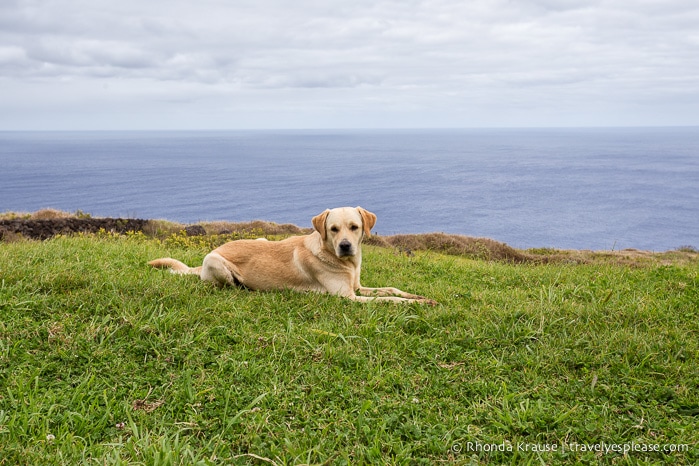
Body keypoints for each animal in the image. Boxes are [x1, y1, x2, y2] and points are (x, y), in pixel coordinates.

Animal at [150, 206, 438, 304]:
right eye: (333, 229)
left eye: (354, 227)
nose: (346, 246)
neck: (345, 262)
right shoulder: (349, 297)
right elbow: (389, 300)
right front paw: (418, 304)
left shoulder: (358, 286)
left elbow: (392, 289)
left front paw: (419, 296)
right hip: (215, 262)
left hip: (261, 239)